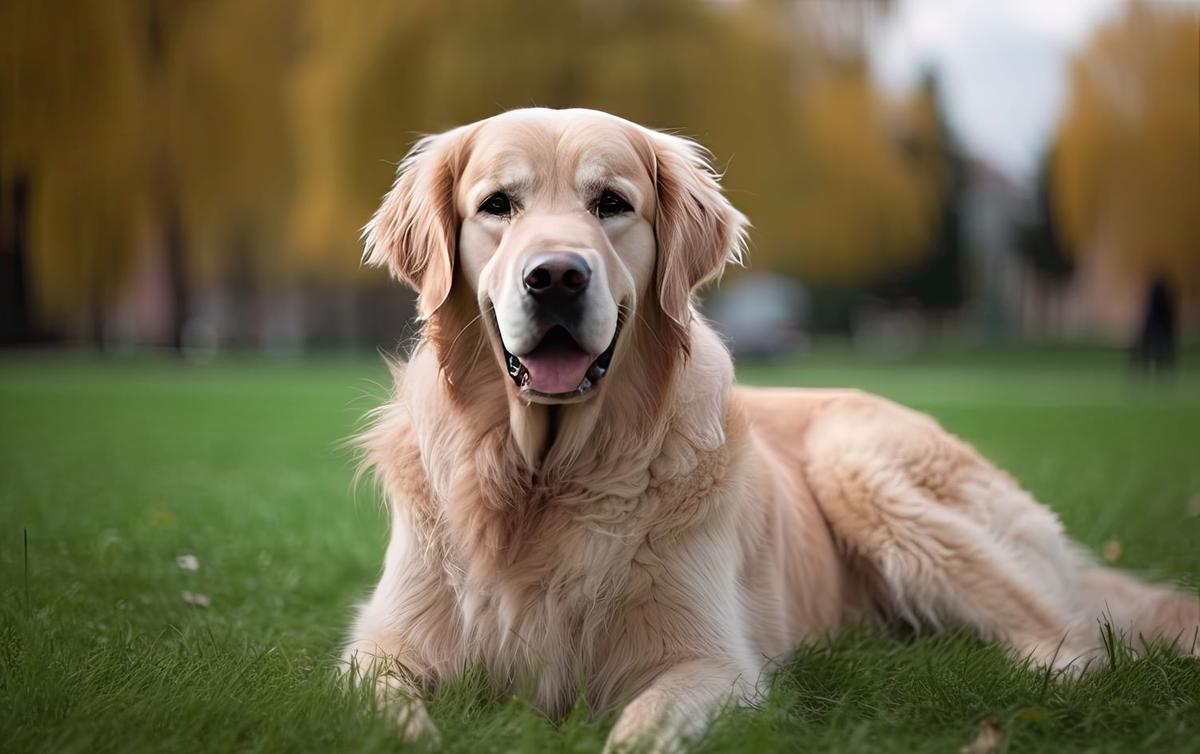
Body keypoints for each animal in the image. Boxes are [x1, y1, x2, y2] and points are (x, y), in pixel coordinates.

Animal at [345, 109, 1200, 749]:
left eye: (611, 203)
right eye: (498, 205)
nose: (556, 276)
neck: (544, 480)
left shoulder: (710, 662)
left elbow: (640, 728)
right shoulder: (379, 649)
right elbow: (388, 719)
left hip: (865, 468)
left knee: (1071, 648)